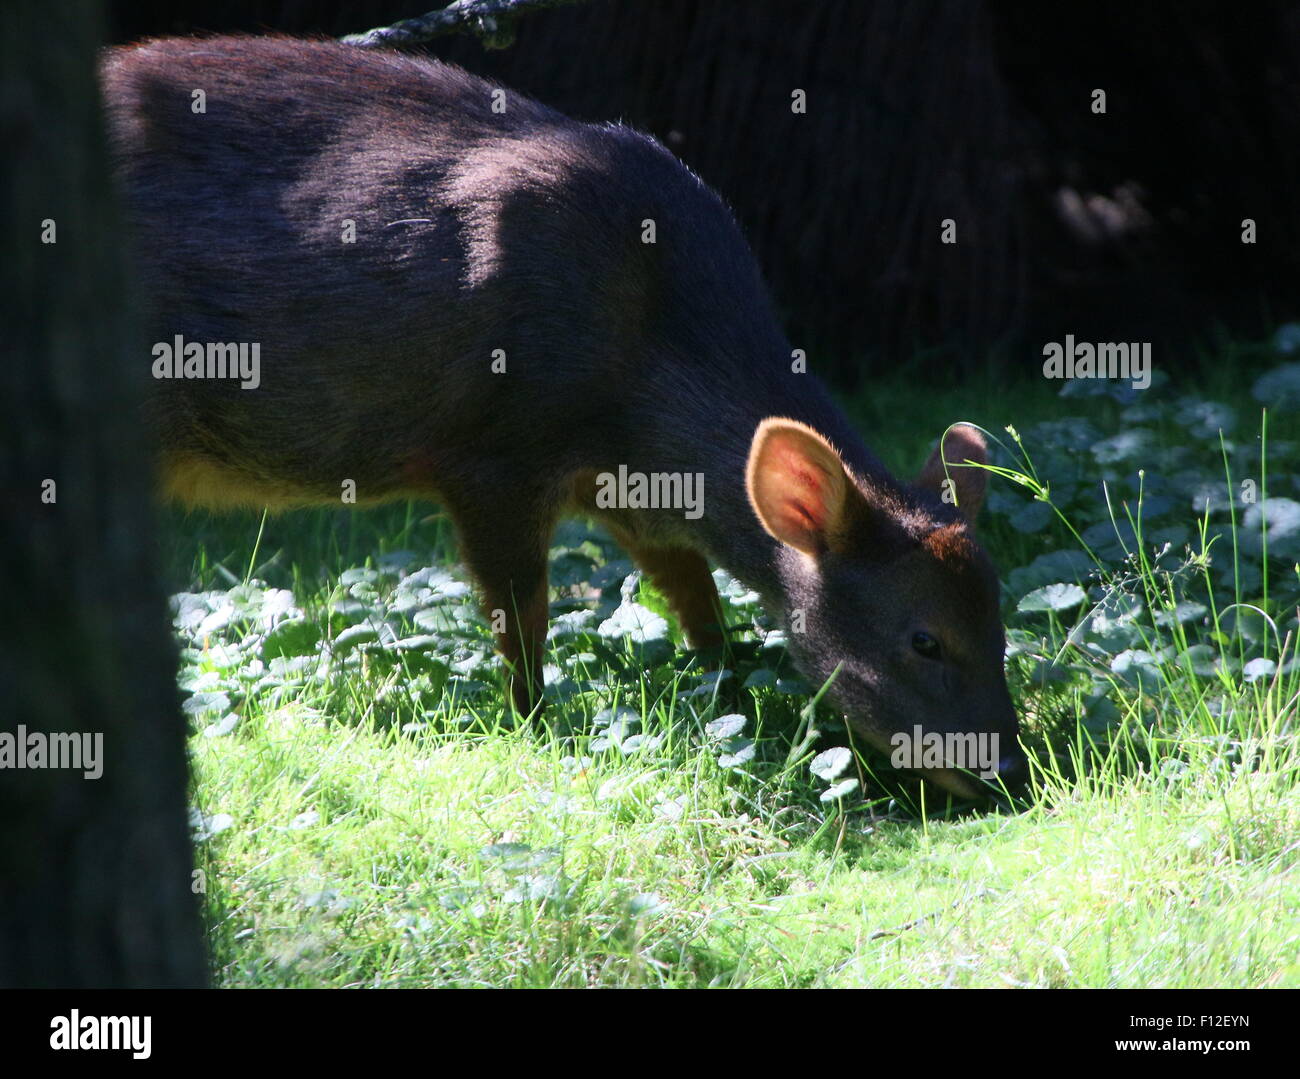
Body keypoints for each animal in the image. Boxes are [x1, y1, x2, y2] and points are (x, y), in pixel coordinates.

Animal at [101, 38, 1024, 800]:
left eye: (1001, 620)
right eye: (925, 639)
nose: (1011, 773)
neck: (642, 366)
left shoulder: (620, 486)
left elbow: (693, 596)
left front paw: (726, 689)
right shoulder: (491, 457)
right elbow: (521, 619)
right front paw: (535, 724)